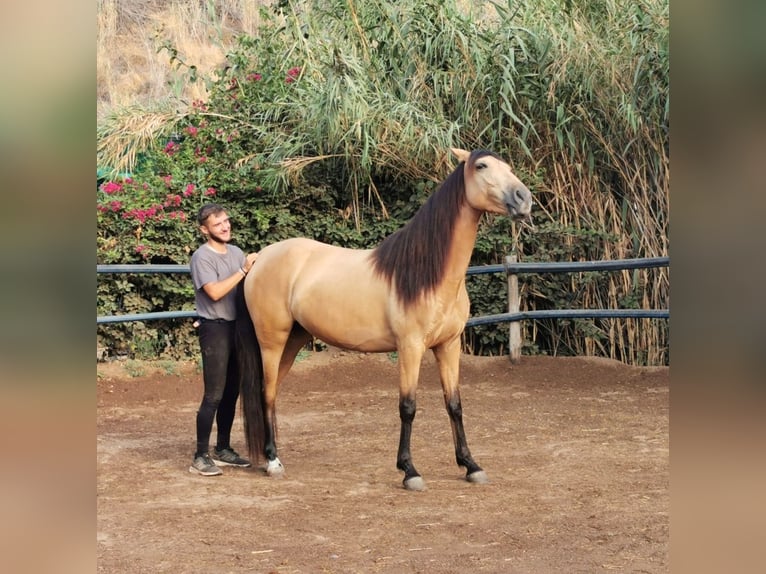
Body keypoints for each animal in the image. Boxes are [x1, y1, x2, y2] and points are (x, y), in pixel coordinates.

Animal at [235, 148, 533, 491]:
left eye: (508, 167)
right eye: (481, 166)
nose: (524, 199)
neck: (430, 275)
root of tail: (259, 259)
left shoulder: (449, 346)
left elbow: (454, 404)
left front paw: (471, 465)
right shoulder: (410, 347)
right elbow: (408, 407)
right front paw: (409, 471)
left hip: (293, 341)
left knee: (271, 394)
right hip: (272, 341)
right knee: (266, 393)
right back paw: (272, 461)